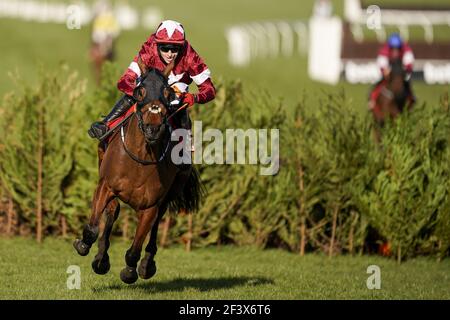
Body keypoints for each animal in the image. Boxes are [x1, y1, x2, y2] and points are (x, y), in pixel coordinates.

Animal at [73, 61, 203, 284]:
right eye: (139, 91)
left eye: (168, 93)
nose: (153, 128)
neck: (140, 159)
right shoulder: (105, 186)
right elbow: (92, 229)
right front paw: (88, 249)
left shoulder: (150, 206)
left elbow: (135, 249)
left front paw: (131, 271)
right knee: (113, 211)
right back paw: (101, 258)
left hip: (171, 193)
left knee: (157, 224)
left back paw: (147, 265)